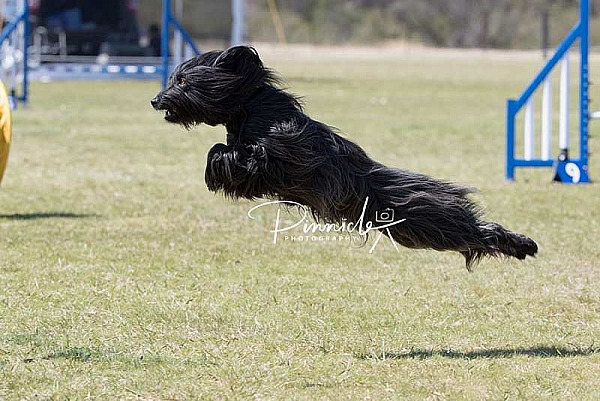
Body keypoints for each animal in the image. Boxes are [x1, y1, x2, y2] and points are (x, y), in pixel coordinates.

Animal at [152, 45, 536, 268]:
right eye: (173, 78)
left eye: (183, 81)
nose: (156, 100)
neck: (253, 106)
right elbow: (223, 151)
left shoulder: (282, 156)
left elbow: (229, 154)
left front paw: (218, 171)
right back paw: (519, 246)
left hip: (432, 221)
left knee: (476, 232)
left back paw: (521, 243)